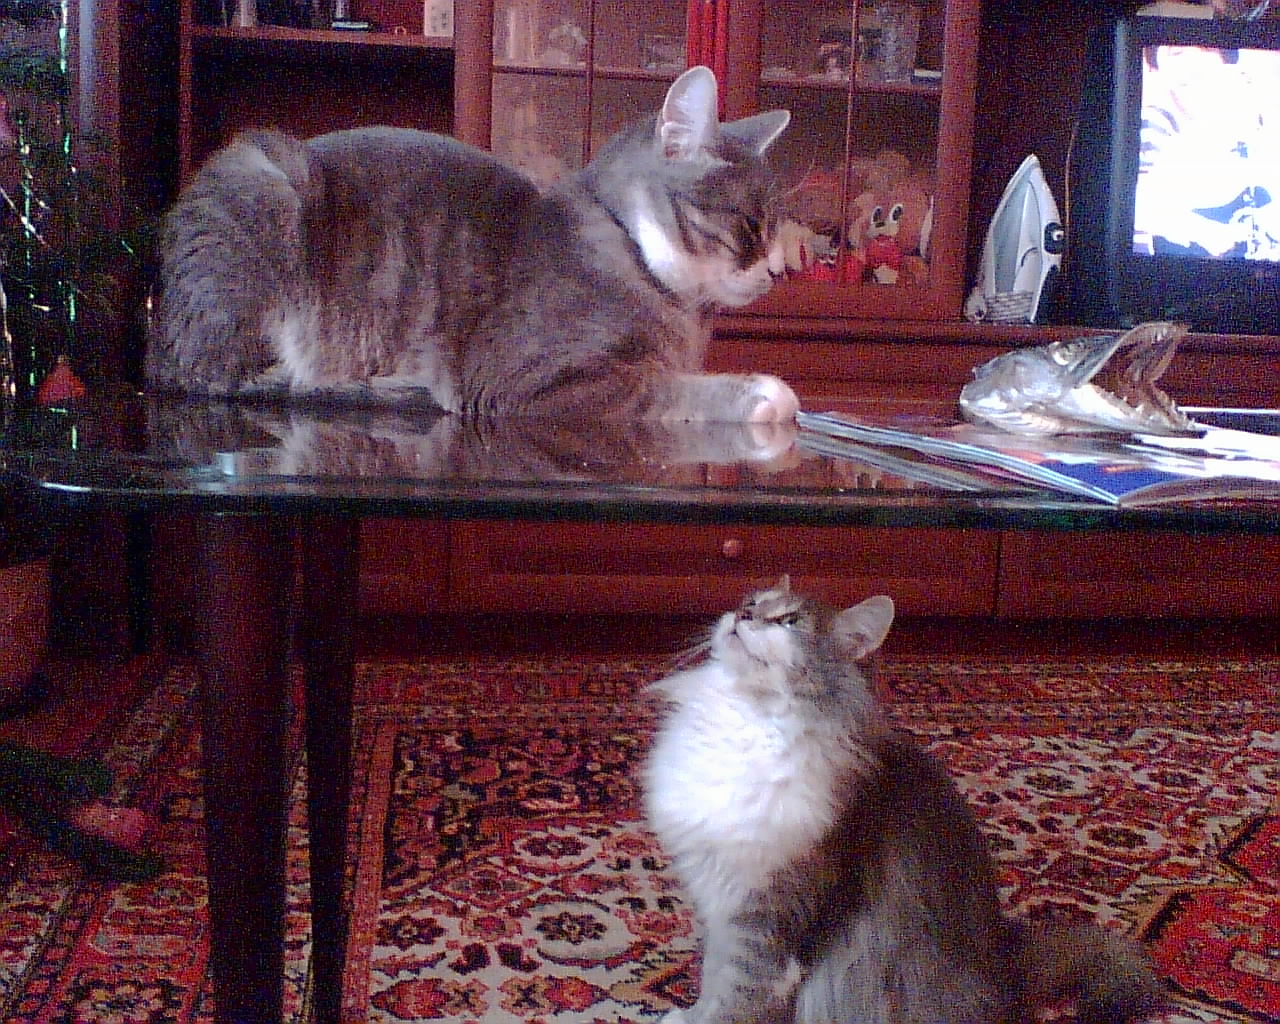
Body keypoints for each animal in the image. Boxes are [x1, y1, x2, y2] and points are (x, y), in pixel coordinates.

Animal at [146, 66, 801, 424]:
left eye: (777, 229)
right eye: (750, 225)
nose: (778, 272)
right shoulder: (531, 382)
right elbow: (658, 388)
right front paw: (763, 392)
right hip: (261, 183)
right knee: (229, 375)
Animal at [643, 577, 1168, 1024]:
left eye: (789, 621)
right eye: (752, 600)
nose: (743, 613)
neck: (748, 717)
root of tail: (1008, 976)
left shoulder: (763, 915)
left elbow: (732, 996)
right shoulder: (721, 902)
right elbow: (712, 978)